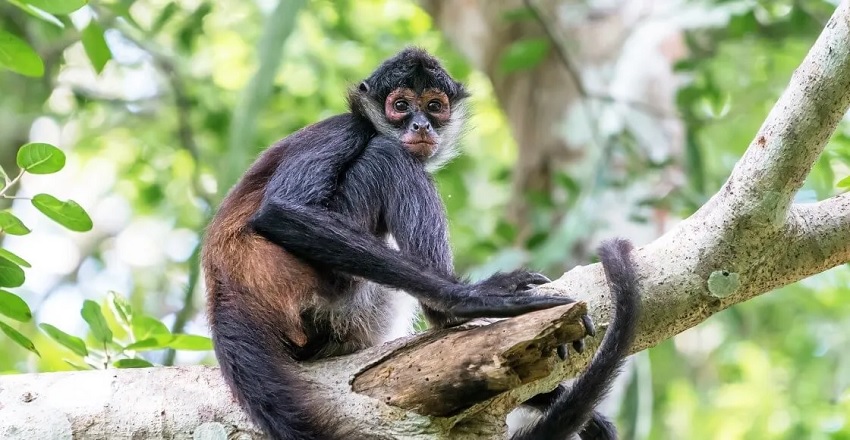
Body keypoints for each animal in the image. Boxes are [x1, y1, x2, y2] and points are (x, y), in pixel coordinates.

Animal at [202, 47, 640, 440]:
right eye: (400, 106)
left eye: (433, 106)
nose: (420, 127)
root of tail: (226, 289)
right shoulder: (344, 129)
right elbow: (279, 211)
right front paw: (472, 299)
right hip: (324, 287)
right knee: (387, 154)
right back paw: (447, 316)